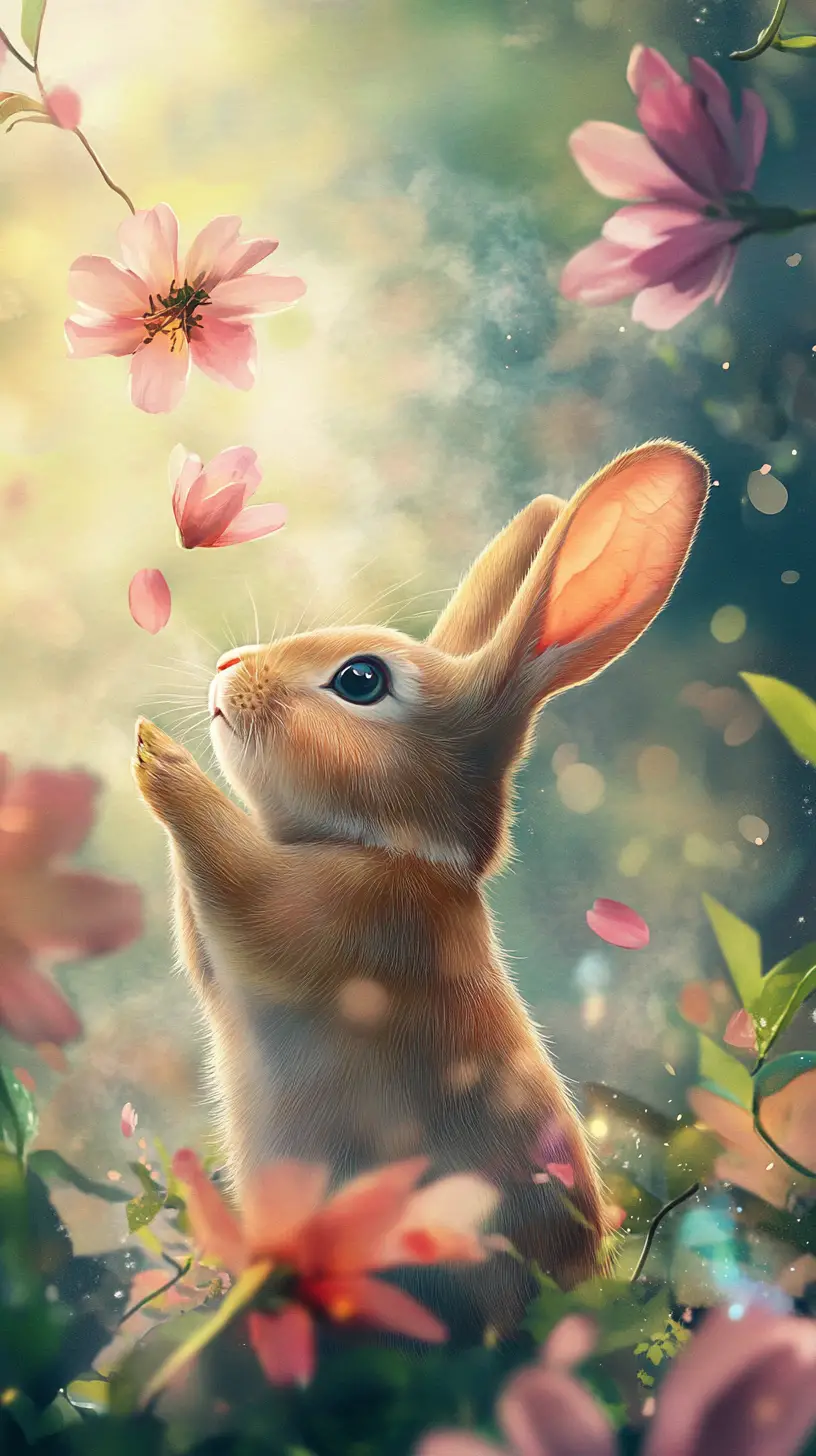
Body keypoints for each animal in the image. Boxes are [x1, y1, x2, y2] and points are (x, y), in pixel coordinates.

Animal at [133, 438, 709, 1335]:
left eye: (362, 681)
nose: (229, 668)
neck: (391, 844)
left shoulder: (331, 921)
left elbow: (233, 872)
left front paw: (162, 759)